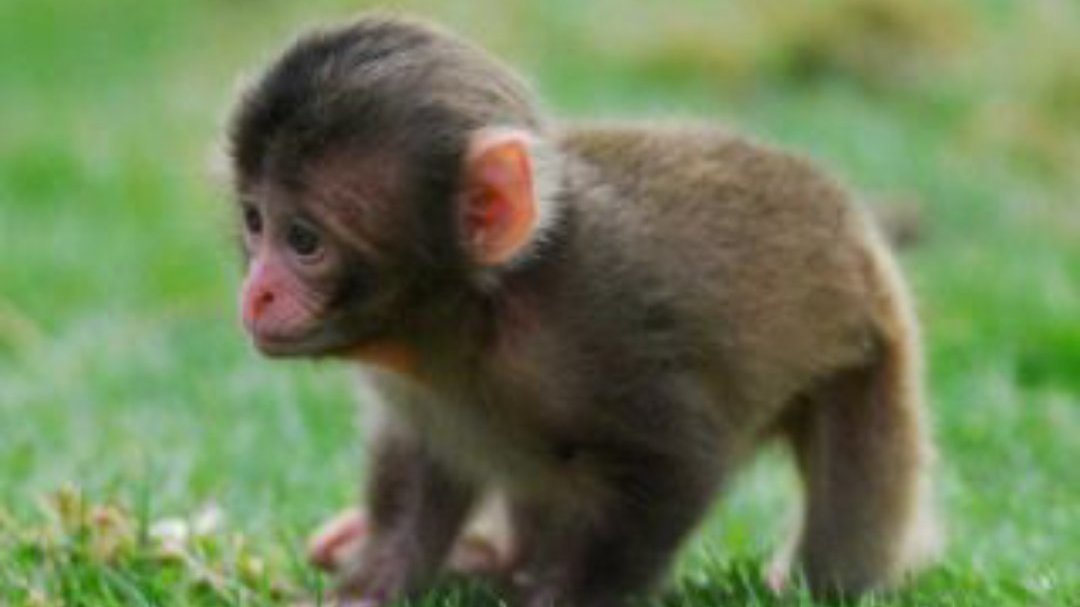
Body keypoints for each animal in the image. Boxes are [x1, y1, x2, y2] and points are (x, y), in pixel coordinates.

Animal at [226, 14, 940, 607]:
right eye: (256, 223)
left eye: (304, 241)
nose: (256, 293)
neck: (476, 313)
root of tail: (860, 232)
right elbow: (423, 462)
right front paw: (371, 584)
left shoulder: (599, 330)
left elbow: (677, 464)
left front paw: (563, 598)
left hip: (874, 348)